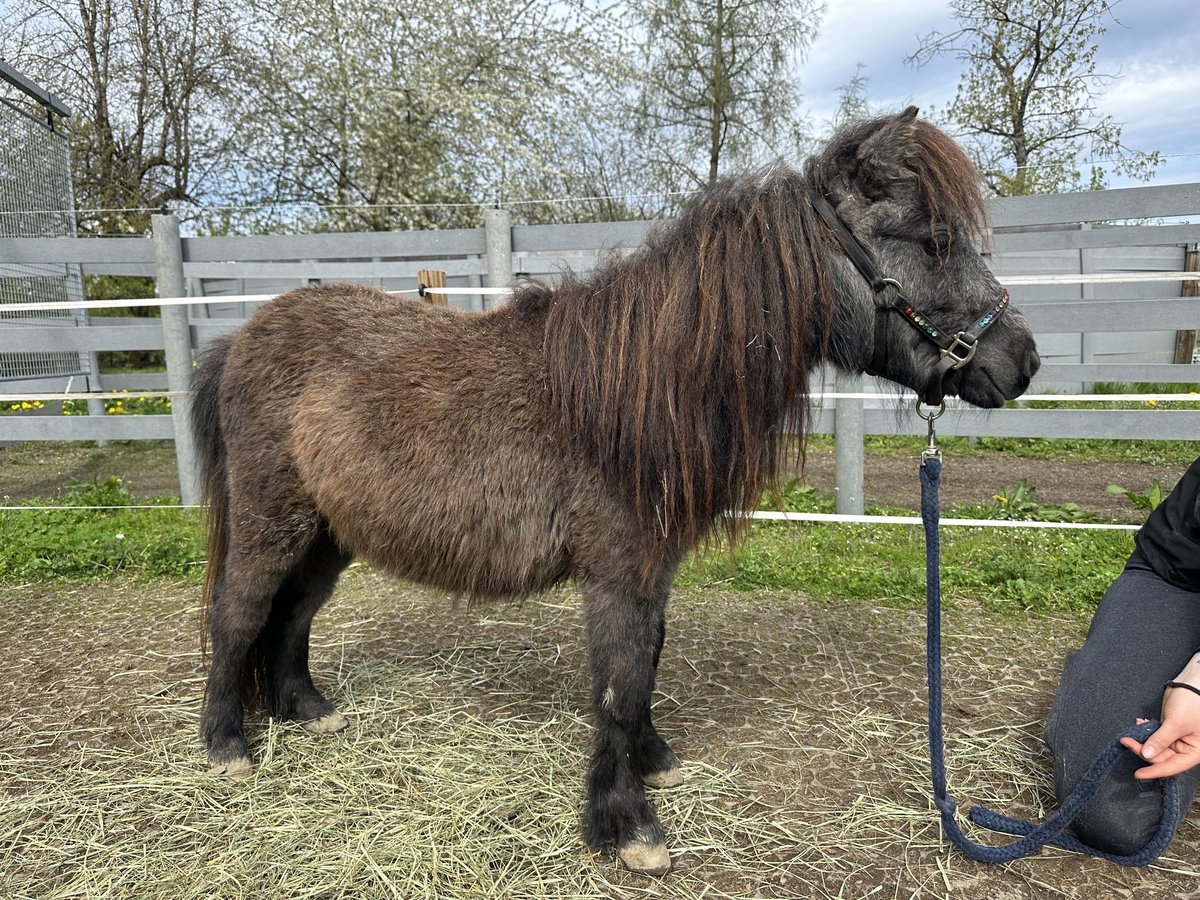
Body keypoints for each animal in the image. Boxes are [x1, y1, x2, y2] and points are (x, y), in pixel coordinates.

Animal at [189, 105, 1041, 873]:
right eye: (931, 239)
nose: (1023, 360)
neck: (645, 385)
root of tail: (241, 337)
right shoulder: (618, 572)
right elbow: (620, 684)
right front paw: (626, 825)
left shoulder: (652, 570)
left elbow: (647, 665)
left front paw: (652, 760)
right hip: (272, 521)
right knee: (240, 614)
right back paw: (227, 746)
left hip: (329, 534)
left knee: (291, 615)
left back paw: (306, 712)